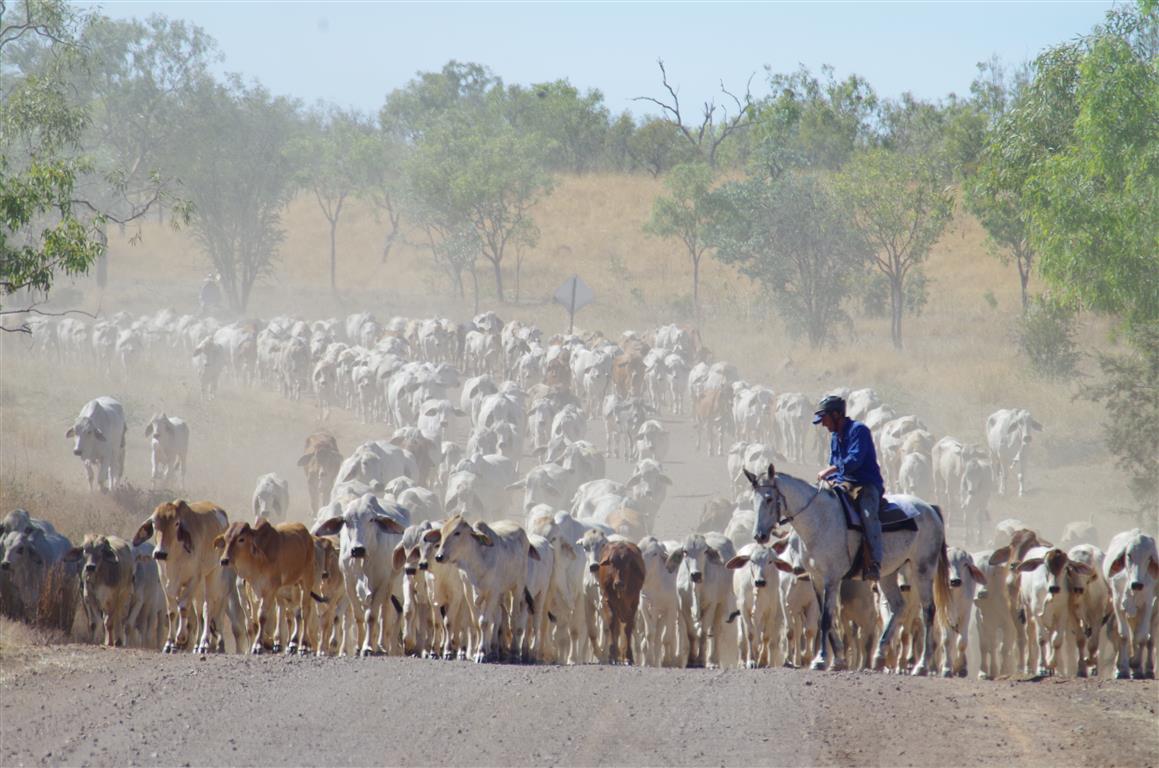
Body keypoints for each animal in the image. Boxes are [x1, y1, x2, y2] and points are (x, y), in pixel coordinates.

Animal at [132, 498, 248, 653]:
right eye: (155, 523)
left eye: (176, 523)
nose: (160, 553)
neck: (175, 555)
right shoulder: (165, 581)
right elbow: (172, 611)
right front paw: (170, 644)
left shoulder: (193, 579)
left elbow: (183, 607)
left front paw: (181, 638)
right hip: (200, 586)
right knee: (199, 612)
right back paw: (198, 644)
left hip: (212, 575)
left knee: (207, 607)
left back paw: (204, 643)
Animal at [215, 516, 317, 653]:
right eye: (225, 539)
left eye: (241, 539)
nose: (224, 560)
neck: (258, 561)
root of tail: (307, 535)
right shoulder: (253, 591)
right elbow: (254, 621)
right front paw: (258, 645)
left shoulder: (269, 591)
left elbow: (262, 616)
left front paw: (258, 645)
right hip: (284, 590)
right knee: (285, 611)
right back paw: (284, 643)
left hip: (306, 581)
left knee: (304, 611)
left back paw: (303, 645)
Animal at [598, 539, 644, 667]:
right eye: (612, 563)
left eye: (628, 563)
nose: (619, 584)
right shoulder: (607, 599)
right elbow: (612, 624)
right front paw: (612, 655)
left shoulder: (634, 602)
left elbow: (628, 627)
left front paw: (628, 657)